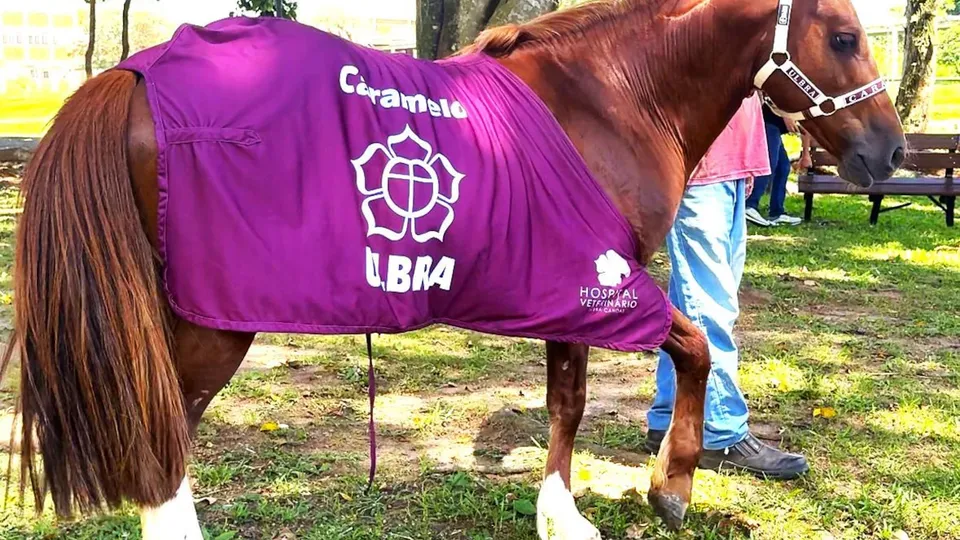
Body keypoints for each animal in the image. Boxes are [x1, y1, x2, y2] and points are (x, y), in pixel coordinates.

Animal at [1, 0, 900, 536]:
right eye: (844, 37)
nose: (888, 153)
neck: (613, 93)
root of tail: (133, 76)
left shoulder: (568, 288)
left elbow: (568, 399)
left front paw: (565, 507)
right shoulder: (600, 281)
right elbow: (689, 350)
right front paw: (665, 488)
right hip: (214, 318)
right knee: (167, 433)